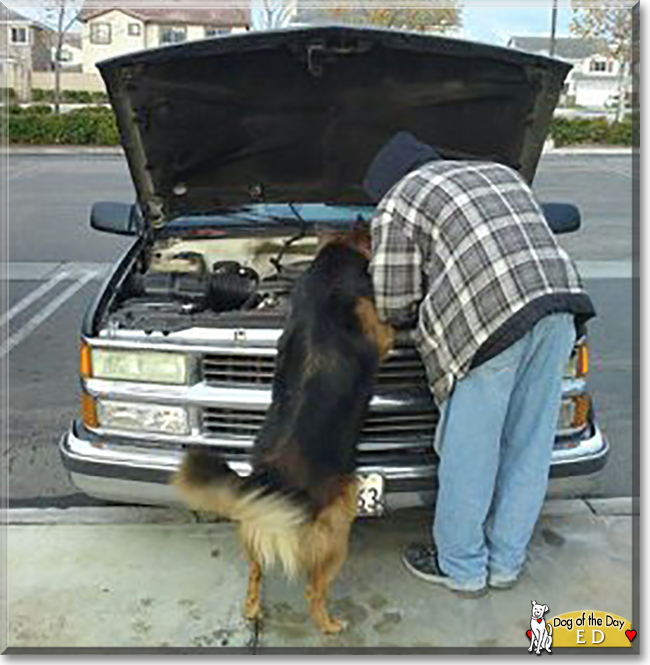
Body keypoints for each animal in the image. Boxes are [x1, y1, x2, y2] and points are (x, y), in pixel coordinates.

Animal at [172, 228, 390, 632]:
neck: (330, 271)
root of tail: (274, 480)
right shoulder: (380, 333)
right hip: (337, 525)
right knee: (313, 589)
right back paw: (329, 625)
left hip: (257, 527)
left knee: (255, 574)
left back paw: (251, 610)